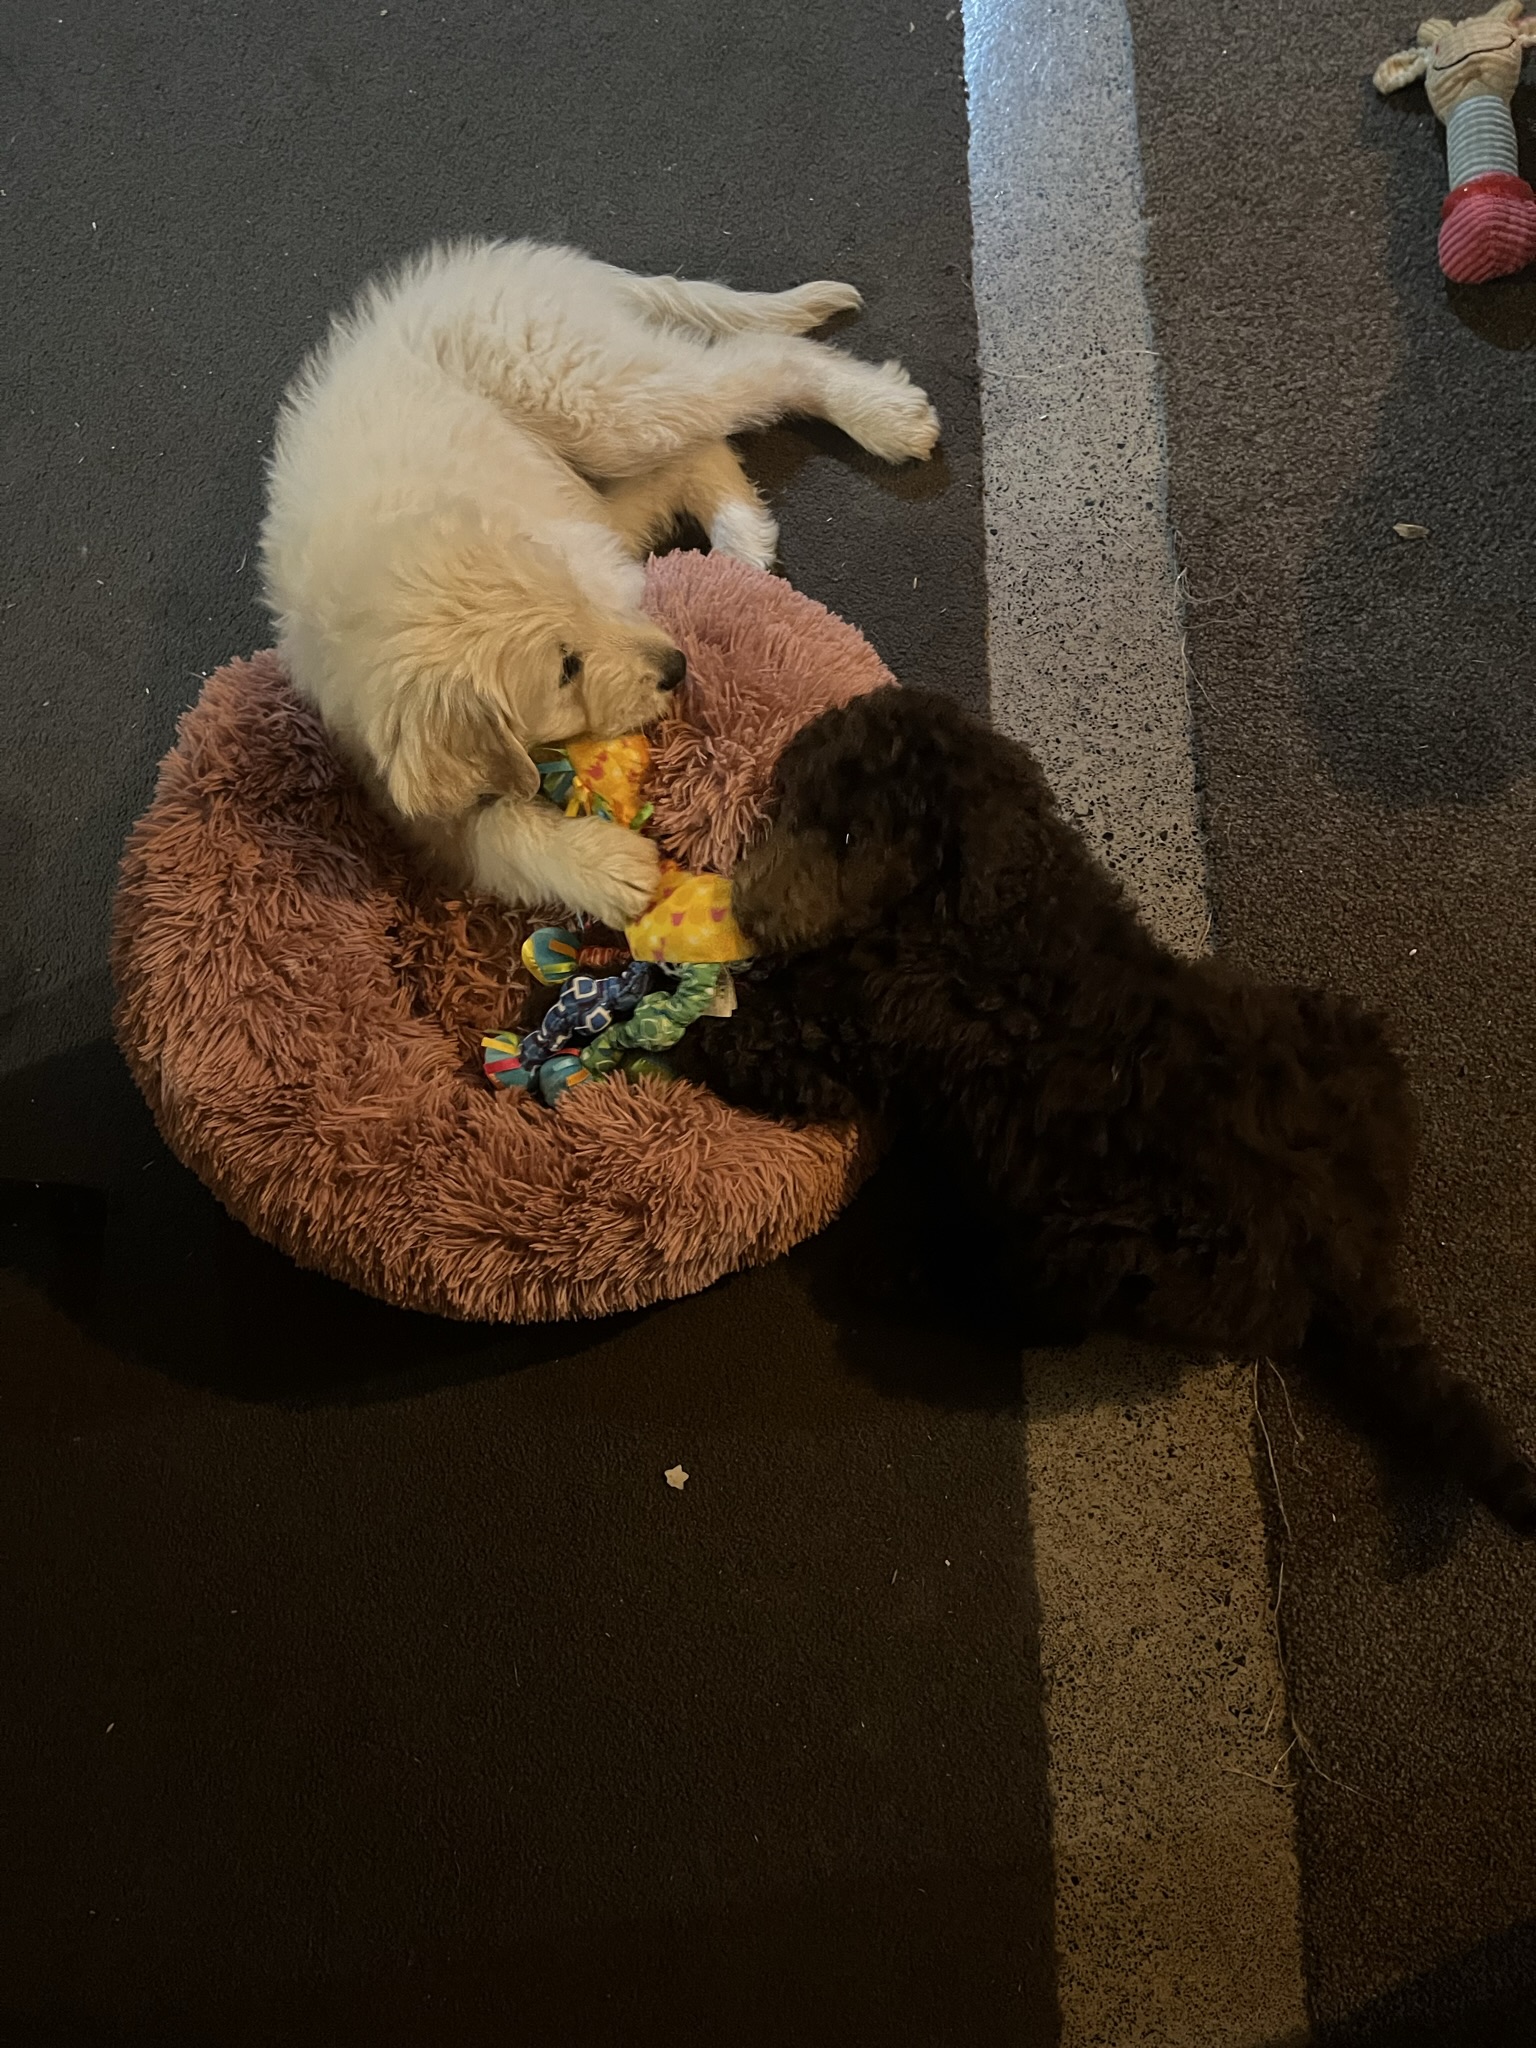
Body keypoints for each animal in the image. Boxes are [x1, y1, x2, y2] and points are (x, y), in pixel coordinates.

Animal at [260, 235, 946, 925]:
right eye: (566, 669)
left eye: (583, 602)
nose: (677, 668)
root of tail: (491, 261)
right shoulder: (404, 796)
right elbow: (490, 832)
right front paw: (608, 869)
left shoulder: (592, 535)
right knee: (705, 436)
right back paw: (743, 535)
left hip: (591, 399)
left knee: (757, 365)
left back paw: (883, 417)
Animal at [684, 692, 1536, 1540]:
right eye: (787, 806)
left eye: (851, 837)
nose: (743, 906)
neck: (969, 909)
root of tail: (1343, 1247)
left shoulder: (866, 1037)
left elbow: (763, 1038)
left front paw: (692, 1020)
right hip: (1338, 1028)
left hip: (1099, 1250)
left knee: (1035, 1308)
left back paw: (902, 1270)